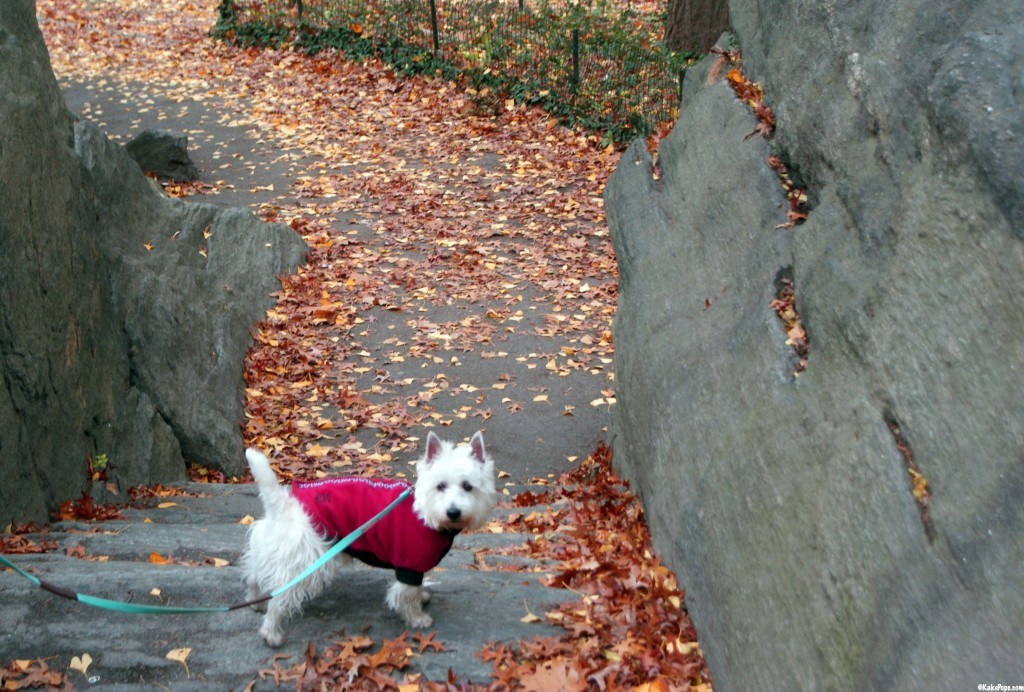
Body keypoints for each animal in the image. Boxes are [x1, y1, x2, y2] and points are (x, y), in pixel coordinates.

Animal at [239, 429, 495, 646]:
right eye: (440, 486)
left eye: (468, 486)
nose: (453, 512)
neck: (426, 514)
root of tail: (285, 505)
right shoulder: (410, 563)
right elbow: (406, 596)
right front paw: (418, 618)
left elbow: (417, 588)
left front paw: (422, 597)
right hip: (306, 559)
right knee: (281, 596)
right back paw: (271, 633)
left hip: (277, 549)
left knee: (254, 575)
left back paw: (256, 602)